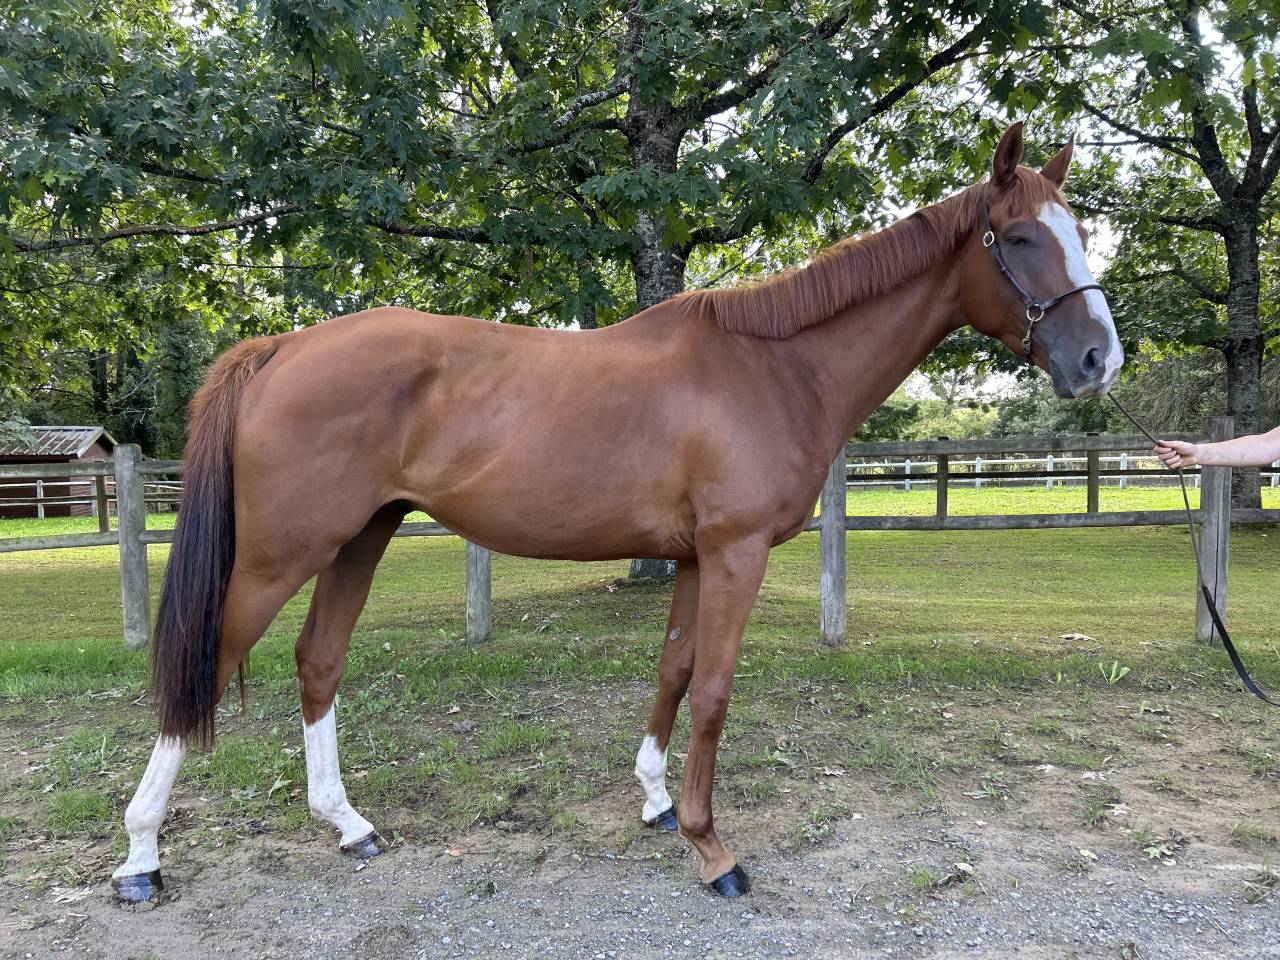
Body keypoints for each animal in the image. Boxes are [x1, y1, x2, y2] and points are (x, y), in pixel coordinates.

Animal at [111, 121, 1122, 903]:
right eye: (1021, 239)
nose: (1099, 361)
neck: (775, 366)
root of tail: (281, 349)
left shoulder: (694, 557)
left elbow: (672, 674)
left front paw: (657, 802)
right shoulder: (736, 554)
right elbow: (712, 692)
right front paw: (713, 849)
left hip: (362, 537)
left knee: (317, 663)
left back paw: (347, 823)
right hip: (280, 555)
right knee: (206, 668)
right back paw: (141, 857)